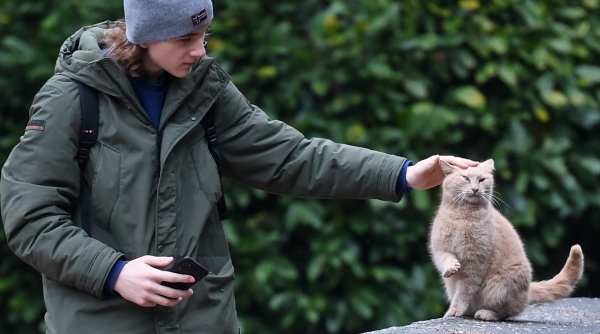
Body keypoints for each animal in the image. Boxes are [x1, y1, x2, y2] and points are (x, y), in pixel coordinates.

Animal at [428, 159, 584, 320]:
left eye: (482, 180)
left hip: (499, 288)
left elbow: (464, 292)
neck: (462, 217)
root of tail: (527, 291)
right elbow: (447, 259)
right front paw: (451, 268)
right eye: (465, 178)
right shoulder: (440, 249)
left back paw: (486, 313)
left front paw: (455, 310)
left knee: (508, 311)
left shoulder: (475, 263)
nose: (475, 189)